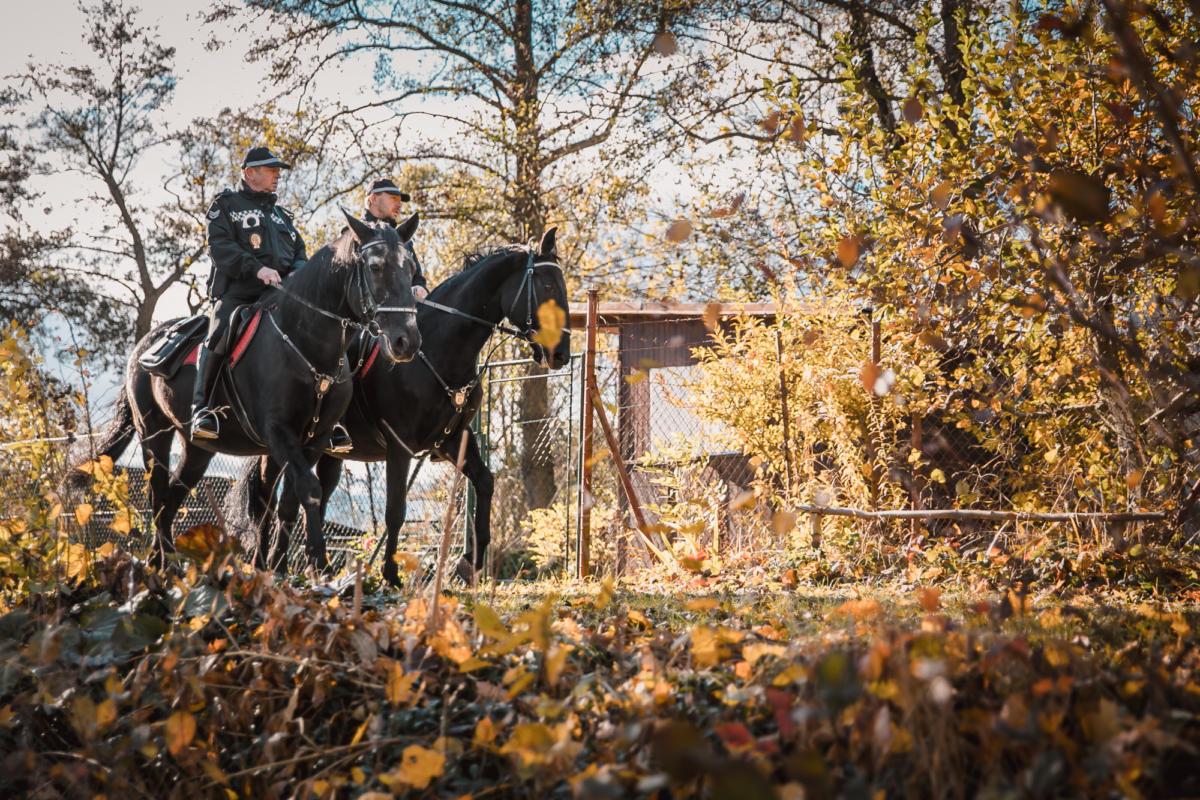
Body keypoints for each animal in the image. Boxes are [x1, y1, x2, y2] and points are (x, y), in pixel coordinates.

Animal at [73, 212, 422, 568]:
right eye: (376, 266)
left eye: (410, 267)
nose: (406, 341)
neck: (305, 344)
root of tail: (145, 345)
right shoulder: (278, 432)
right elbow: (309, 490)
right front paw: (317, 560)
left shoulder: (317, 437)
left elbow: (293, 498)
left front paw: (281, 567)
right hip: (154, 432)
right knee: (158, 496)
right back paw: (162, 563)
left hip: (198, 450)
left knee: (172, 498)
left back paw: (165, 562)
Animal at [242, 227, 571, 585]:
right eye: (548, 286)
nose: (561, 354)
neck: (440, 350)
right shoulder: (399, 445)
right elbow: (395, 511)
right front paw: (390, 573)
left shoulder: (454, 439)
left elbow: (485, 482)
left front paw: (470, 562)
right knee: (268, 500)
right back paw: (269, 565)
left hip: (327, 453)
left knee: (305, 500)